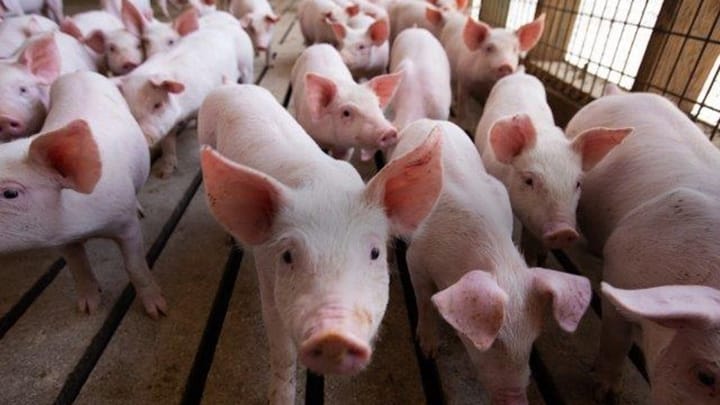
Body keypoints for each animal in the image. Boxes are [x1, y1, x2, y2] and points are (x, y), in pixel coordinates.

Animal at [0, 71, 165, 317]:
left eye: (10, 193)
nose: (87, 309)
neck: (86, 228)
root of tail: (80, 73)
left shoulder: (126, 223)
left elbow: (134, 266)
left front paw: (158, 311)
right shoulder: (63, 241)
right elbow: (78, 267)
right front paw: (88, 309)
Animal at [116, 18, 248, 178]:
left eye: (157, 105)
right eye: (131, 112)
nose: (145, 137)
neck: (183, 112)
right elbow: (168, 141)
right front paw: (163, 173)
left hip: (246, 63)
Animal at [198, 84, 443, 405]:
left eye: (375, 253)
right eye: (288, 256)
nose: (333, 336)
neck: (323, 188)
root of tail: (229, 87)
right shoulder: (268, 278)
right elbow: (282, 351)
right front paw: (279, 400)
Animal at [391, 118, 591, 405]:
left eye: (532, 342)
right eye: (493, 342)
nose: (516, 400)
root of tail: (432, 120)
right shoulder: (415, 258)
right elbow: (424, 301)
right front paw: (429, 351)